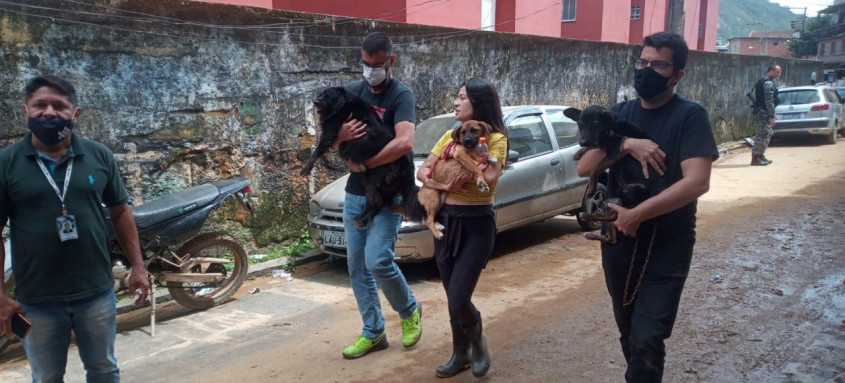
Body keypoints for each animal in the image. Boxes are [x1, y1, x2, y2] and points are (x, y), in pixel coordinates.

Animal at [304, 86, 418, 228]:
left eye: (327, 95)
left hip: (376, 179)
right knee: (381, 202)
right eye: (320, 94)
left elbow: (317, 150)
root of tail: (410, 165)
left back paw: (363, 218)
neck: (341, 104)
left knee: (376, 203)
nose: (314, 101)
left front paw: (307, 167)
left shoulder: (330, 131)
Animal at [560, 105, 664, 243]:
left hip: (634, 190)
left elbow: (594, 169)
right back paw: (592, 230)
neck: (610, 129)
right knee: (612, 235)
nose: (582, 142)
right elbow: (594, 147)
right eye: (580, 124)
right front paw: (580, 151)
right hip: (611, 200)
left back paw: (586, 216)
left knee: (616, 215)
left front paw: (591, 189)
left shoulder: (615, 152)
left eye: (595, 124)